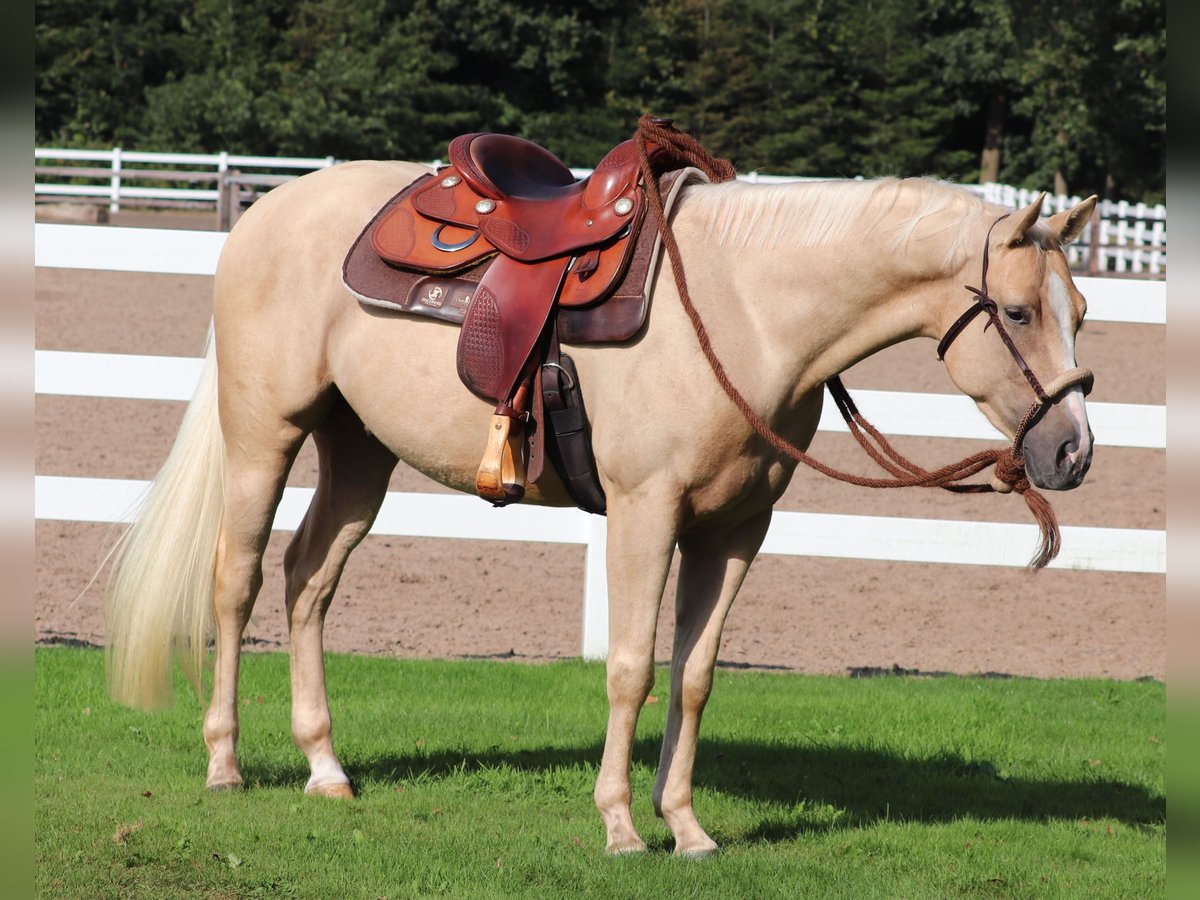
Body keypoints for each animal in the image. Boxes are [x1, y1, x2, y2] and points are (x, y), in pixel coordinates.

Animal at [110, 157, 1099, 859]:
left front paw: (688, 829)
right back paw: (226, 765)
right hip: (265, 436)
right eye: (1017, 311)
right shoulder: (643, 514)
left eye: (1082, 311)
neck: (746, 313)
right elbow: (630, 668)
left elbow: (694, 676)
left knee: (308, 579)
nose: (1073, 453)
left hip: (360, 453)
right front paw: (621, 826)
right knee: (236, 579)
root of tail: (266, 211)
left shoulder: (733, 532)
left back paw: (326, 768)